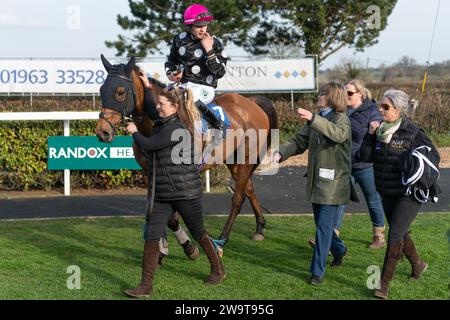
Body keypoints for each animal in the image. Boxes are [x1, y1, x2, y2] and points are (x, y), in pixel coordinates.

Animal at [94, 55, 278, 252]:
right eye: (101, 90)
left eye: (120, 92)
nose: (102, 132)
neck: (157, 125)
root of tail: (252, 102)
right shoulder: (150, 172)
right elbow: (159, 211)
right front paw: (164, 246)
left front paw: (189, 247)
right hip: (234, 161)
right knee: (249, 189)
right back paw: (259, 228)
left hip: (244, 159)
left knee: (238, 197)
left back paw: (222, 239)